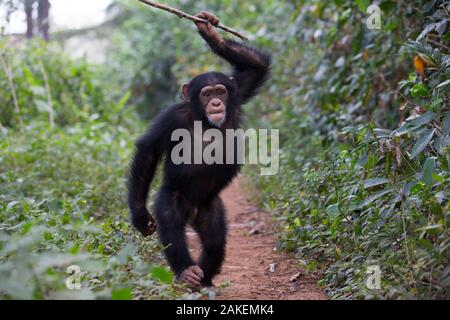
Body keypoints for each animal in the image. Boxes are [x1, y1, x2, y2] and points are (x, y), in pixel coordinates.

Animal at [126, 11, 270, 288]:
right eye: (206, 94)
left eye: (220, 91)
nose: (215, 102)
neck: (203, 119)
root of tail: (192, 211)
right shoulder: (171, 118)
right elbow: (149, 150)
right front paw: (139, 215)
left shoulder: (238, 95)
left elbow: (257, 66)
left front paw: (210, 30)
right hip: (174, 196)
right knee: (172, 227)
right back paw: (186, 271)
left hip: (209, 206)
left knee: (214, 241)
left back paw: (203, 278)